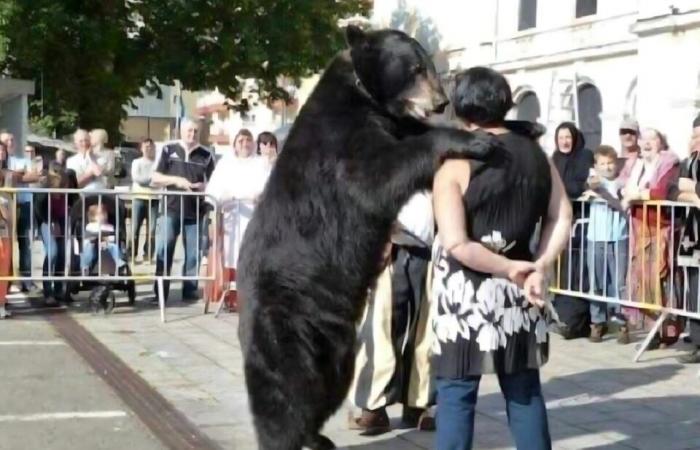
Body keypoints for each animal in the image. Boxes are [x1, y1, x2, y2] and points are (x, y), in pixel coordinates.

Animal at [238, 26, 506, 448]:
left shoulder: (392, 123)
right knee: (284, 393)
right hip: (283, 325)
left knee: (329, 384)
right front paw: (478, 141)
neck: (364, 96)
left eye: (429, 64)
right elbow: (378, 174)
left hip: (336, 344)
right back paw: (289, 436)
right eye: (415, 68)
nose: (441, 101)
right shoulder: (340, 145)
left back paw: (318, 435)